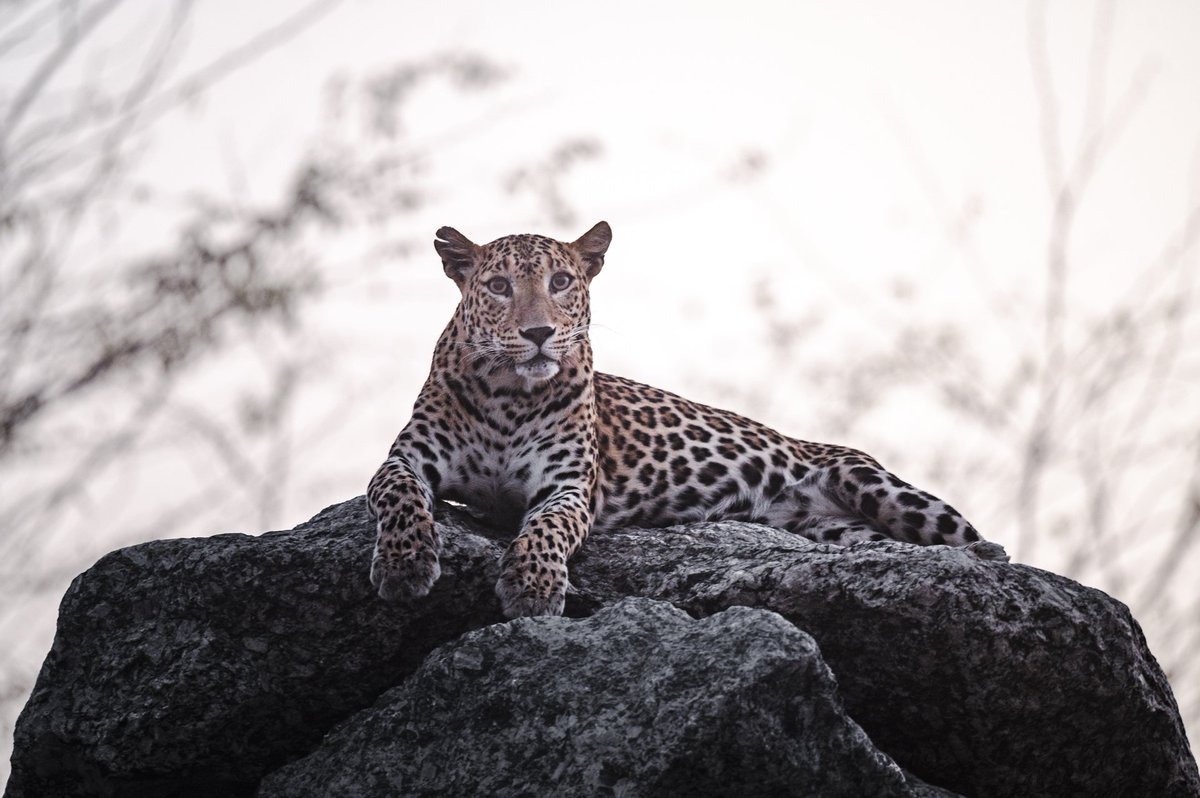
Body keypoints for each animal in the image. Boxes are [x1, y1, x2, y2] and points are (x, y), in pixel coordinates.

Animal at [367, 221, 1008, 618]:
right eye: (499, 286)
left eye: (561, 282)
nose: (540, 333)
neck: (508, 395)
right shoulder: (405, 458)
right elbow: (400, 496)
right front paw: (405, 563)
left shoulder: (568, 488)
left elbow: (547, 529)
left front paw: (532, 586)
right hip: (839, 533)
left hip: (875, 484)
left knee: (976, 543)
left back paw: (986, 559)